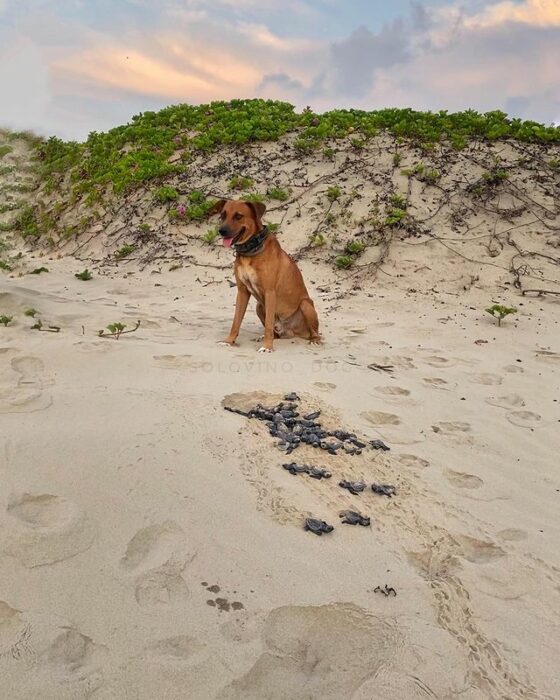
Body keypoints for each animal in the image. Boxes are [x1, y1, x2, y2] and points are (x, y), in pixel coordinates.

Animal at [212, 198, 322, 352]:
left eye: (238, 216)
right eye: (223, 215)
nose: (222, 231)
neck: (250, 251)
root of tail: (290, 332)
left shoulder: (270, 292)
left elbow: (269, 325)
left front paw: (267, 347)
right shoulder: (242, 291)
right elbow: (236, 322)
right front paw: (229, 341)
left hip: (306, 305)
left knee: (315, 332)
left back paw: (314, 340)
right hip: (259, 306)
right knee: (276, 333)